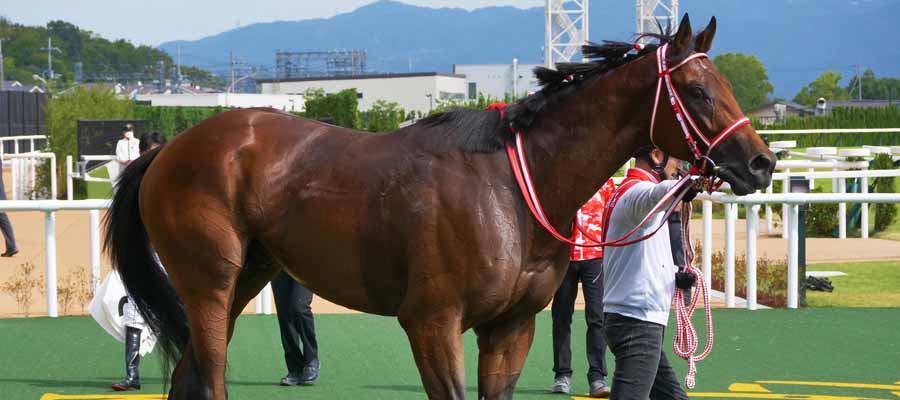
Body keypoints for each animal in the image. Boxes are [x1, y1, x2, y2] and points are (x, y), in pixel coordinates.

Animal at [105, 15, 776, 400]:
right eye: (696, 90)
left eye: (726, 85)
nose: (760, 163)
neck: (511, 189)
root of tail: (168, 149)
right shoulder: (431, 322)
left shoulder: (511, 327)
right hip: (210, 278)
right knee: (210, 371)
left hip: (252, 271)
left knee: (190, 375)